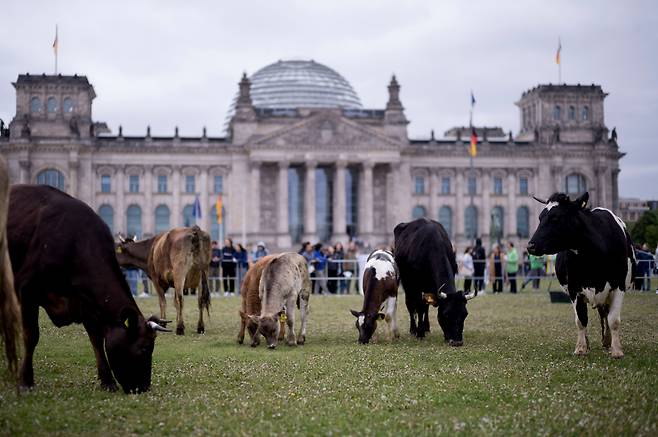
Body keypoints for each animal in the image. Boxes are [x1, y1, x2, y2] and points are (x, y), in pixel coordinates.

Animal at [7, 185, 169, 392]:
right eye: (144, 347)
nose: (144, 387)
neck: (75, 242)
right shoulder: (27, 291)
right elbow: (31, 336)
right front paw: (26, 381)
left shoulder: (87, 302)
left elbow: (97, 340)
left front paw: (107, 381)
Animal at [524, 192, 636, 356]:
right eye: (540, 217)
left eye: (555, 218)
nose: (530, 246)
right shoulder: (574, 290)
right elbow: (581, 320)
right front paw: (581, 348)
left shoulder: (619, 286)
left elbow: (614, 319)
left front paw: (616, 350)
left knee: (606, 314)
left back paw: (607, 341)